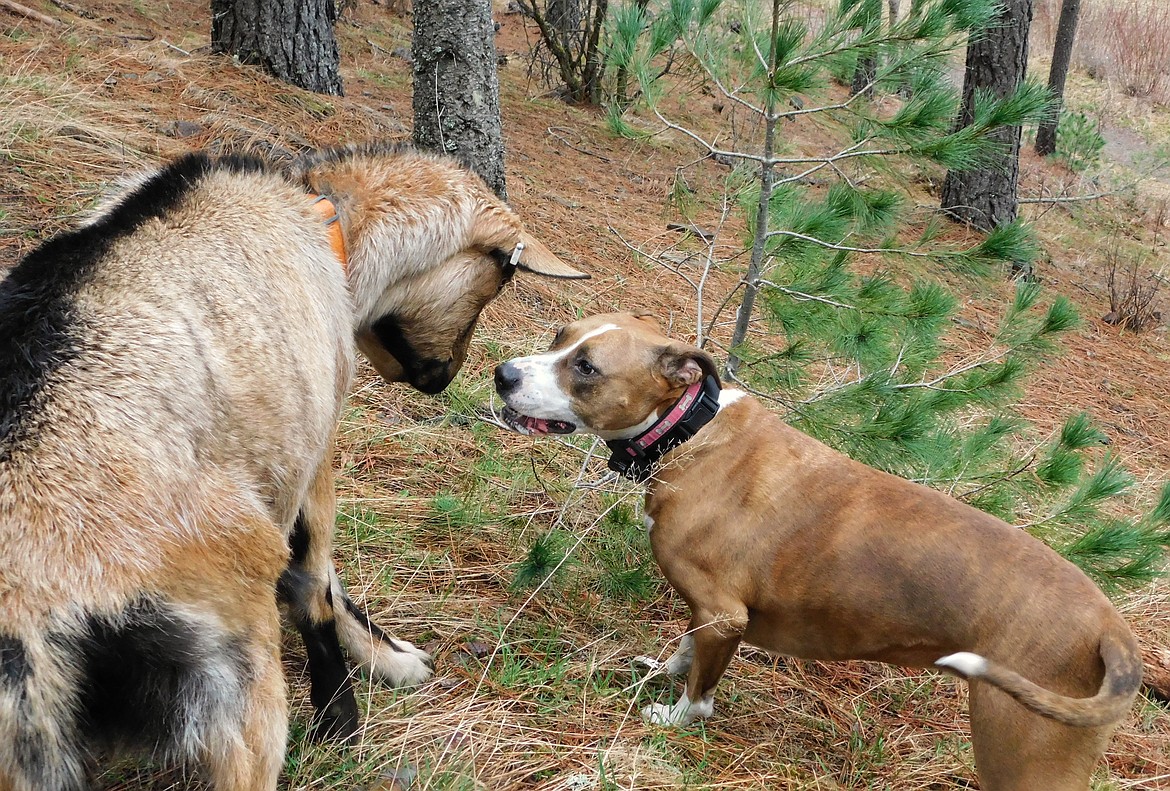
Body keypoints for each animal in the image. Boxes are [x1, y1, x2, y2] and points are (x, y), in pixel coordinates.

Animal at [0, 143, 585, 791]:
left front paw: (392, 659)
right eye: (502, 274)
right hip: (240, 670)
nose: (445, 376)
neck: (322, 223)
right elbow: (315, 578)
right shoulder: (310, 449)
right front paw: (344, 715)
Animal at [493, 311, 1141, 786]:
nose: (503, 373)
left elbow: (698, 696)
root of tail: (1111, 628)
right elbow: (685, 647)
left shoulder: (724, 615)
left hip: (1022, 749)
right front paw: (661, 670)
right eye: (560, 336)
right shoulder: (710, 614)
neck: (691, 432)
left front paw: (672, 718)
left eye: (586, 367)